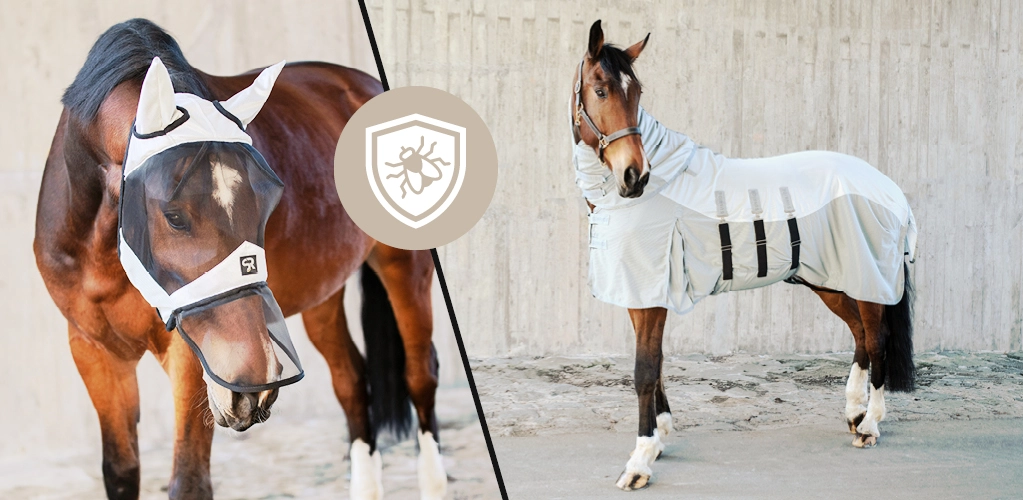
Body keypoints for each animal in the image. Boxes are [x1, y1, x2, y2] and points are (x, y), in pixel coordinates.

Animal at [33, 19, 446, 500]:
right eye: (173, 215)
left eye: (267, 202)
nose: (255, 381)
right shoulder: (93, 350)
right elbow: (120, 472)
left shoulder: (191, 357)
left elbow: (189, 480)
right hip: (322, 294)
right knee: (350, 380)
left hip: (405, 268)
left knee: (420, 373)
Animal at [571, 21, 917, 491]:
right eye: (601, 90)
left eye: (637, 92)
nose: (634, 175)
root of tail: (887, 186)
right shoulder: (640, 294)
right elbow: (655, 365)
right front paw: (659, 438)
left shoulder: (650, 298)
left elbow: (644, 370)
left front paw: (640, 462)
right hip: (832, 280)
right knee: (861, 336)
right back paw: (854, 413)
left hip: (867, 278)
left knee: (876, 339)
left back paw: (870, 425)